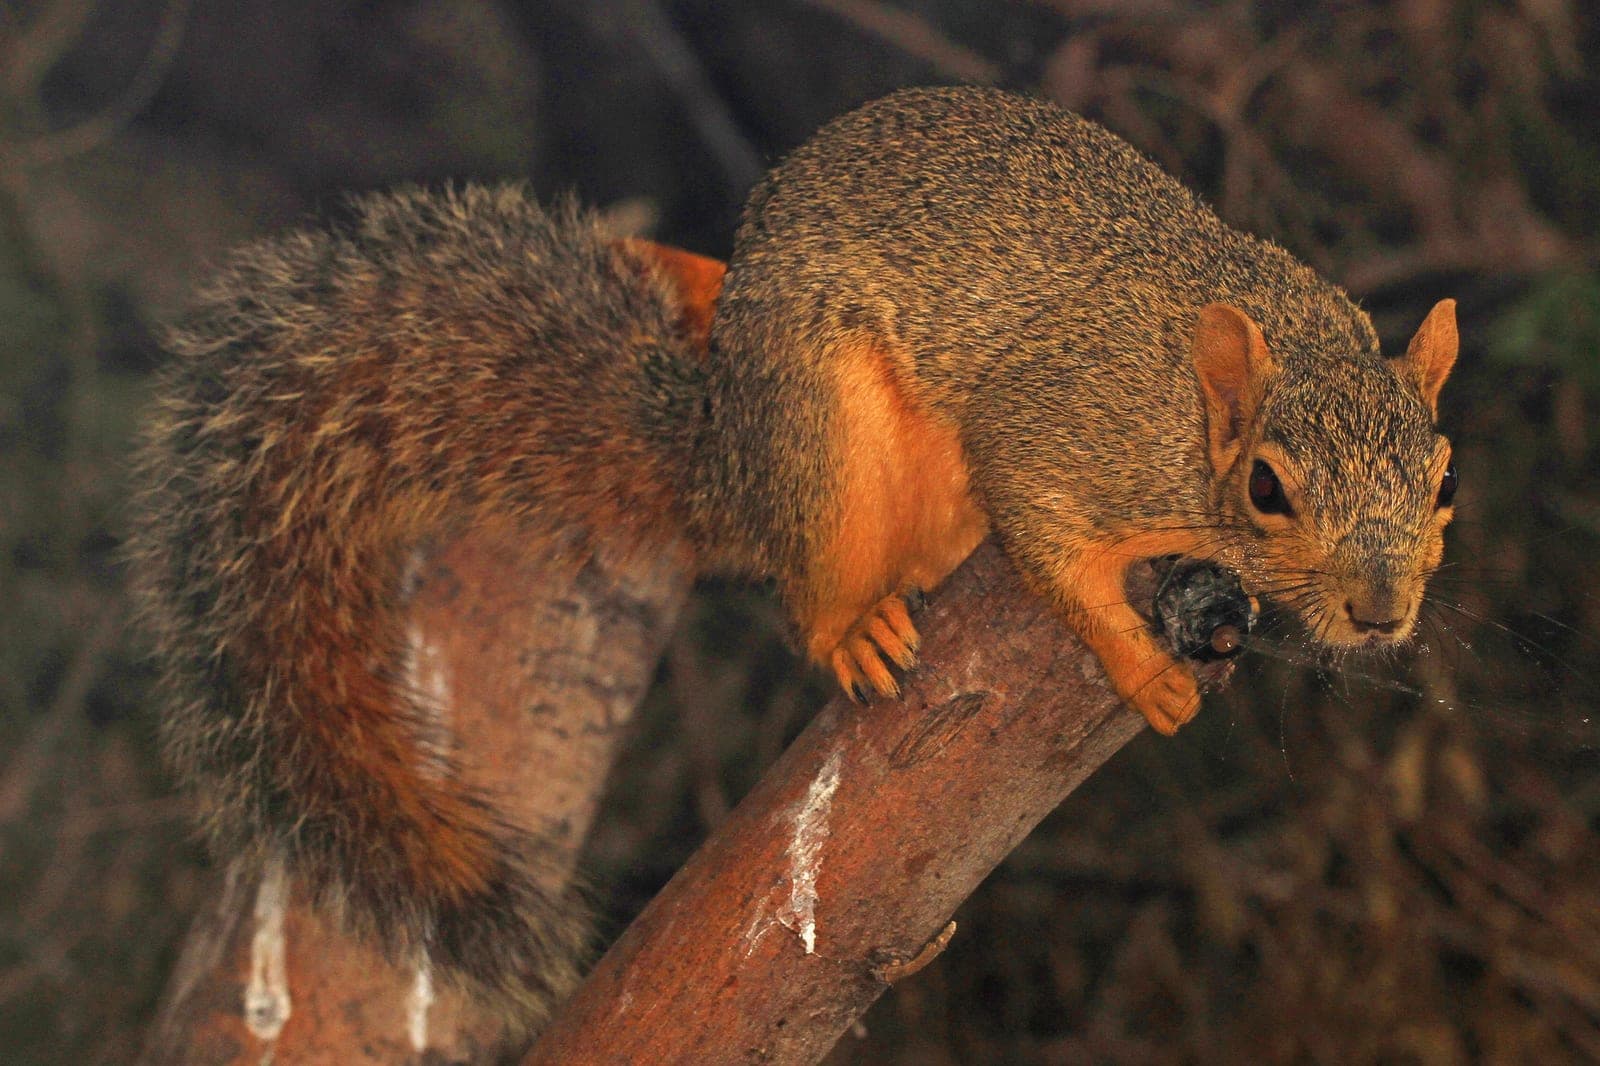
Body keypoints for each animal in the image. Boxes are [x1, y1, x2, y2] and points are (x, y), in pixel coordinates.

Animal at [130, 86, 1458, 1027]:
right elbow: (1048, 540)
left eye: (1444, 481)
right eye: (1269, 489)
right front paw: (1143, 669)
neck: (1199, 409)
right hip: (820, 436)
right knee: (808, 577)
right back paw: (852, 625)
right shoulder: (1059, 429)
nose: (1381, 611)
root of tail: (728, 457)